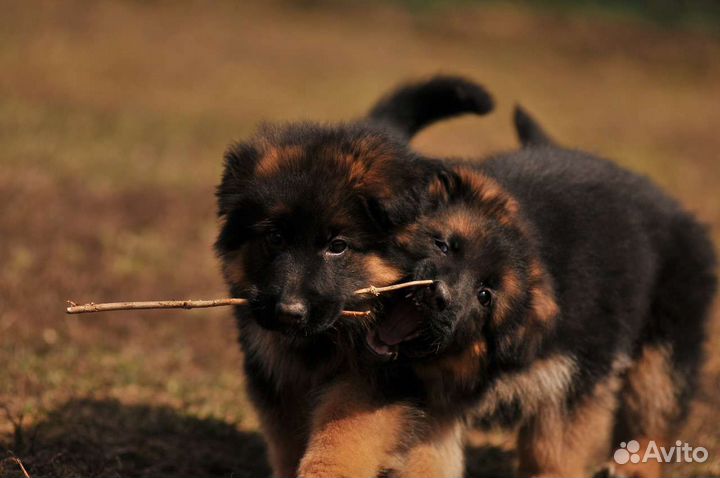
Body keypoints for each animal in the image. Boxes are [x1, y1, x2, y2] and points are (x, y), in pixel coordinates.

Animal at [214, 76, 496, 476]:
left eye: (338, 246)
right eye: (275, 237)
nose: (288, 312)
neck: (326, 341)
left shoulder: (378, 377)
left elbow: (343, 435)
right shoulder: (276, 370)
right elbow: (287, 440)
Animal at [362, 110, 716, 476]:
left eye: (485, 295)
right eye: (443, 245)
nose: (438, 297)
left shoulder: (572, 378)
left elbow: (553, 450)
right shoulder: (431, 401)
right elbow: (428, 455)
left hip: (665, 344)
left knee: (653, 408)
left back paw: (635, 465)